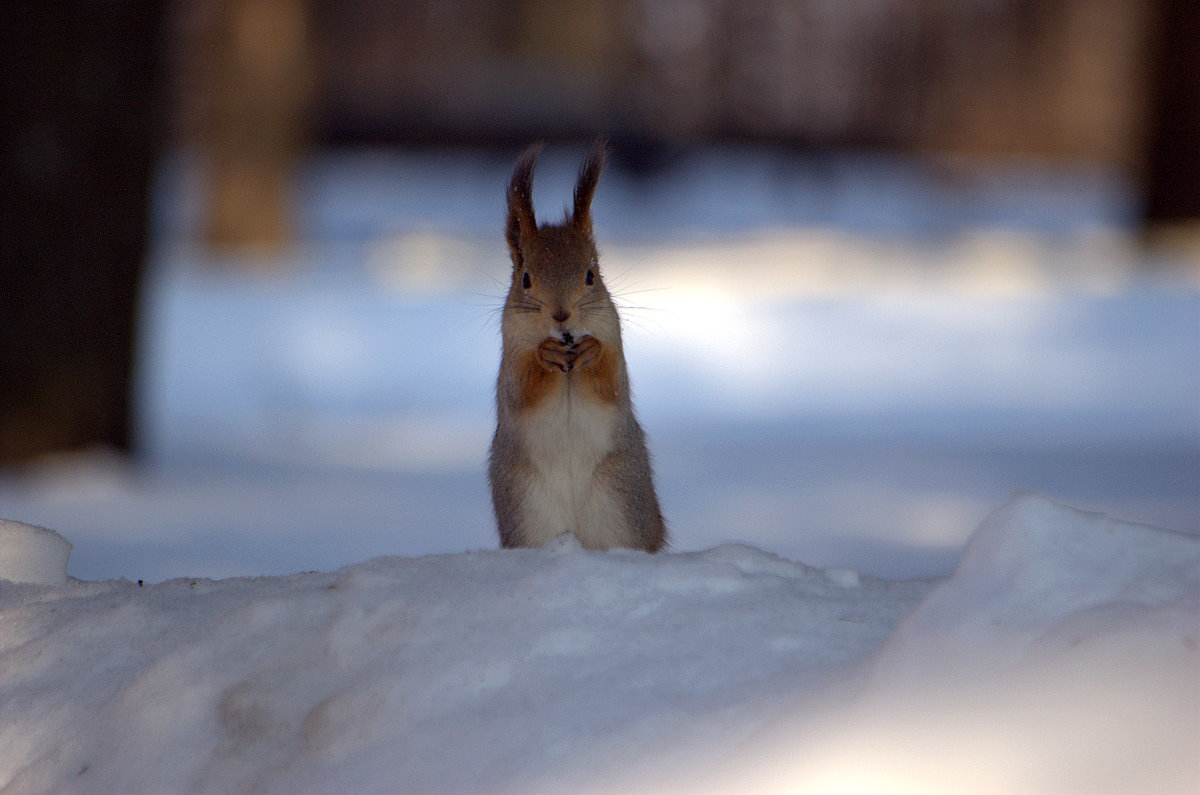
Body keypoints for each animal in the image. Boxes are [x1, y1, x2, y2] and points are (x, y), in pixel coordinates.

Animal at [487, 143, 667, 554]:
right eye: (525, 279)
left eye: (591, 274)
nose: (562, 315)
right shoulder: (510, 356)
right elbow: (522, 390)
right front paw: (545, 355)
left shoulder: (613, 338)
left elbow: (611, 384)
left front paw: (591, 352)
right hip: (526, 510)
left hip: (621, 500)